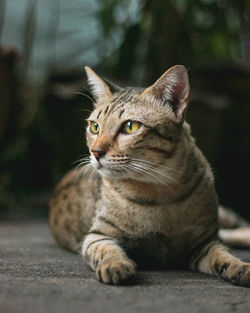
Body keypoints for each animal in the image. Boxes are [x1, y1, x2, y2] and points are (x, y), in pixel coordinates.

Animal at [49, 65, 250, 286]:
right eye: (94, 127)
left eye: (130, 126)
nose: (95, 152)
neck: (159, 191)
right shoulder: (98, 235)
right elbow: (107, 250)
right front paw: (115, 264)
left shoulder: (205, 242)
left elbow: (222, 255)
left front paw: (239, 266)